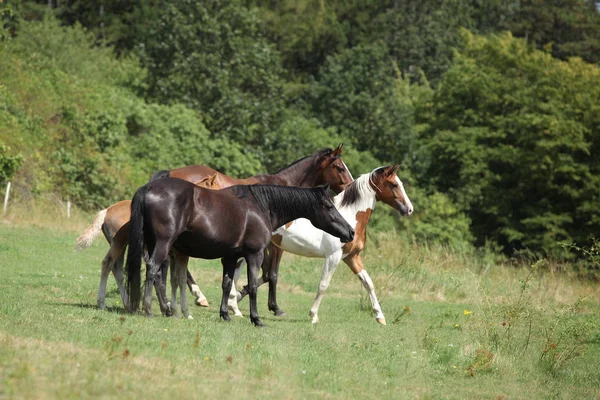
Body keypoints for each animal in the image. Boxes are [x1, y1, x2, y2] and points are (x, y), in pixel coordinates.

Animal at [124, 178, 354, 324]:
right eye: (329, 206)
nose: (350, 232)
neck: (261, 207)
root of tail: (149, 187)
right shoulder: (255, 255)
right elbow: (252, 286)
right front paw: (256, 318)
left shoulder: (231, 256)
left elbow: (227, 284)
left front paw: (225, 314)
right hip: (163, 244)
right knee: (153, 269)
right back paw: (150, 309)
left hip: (154, 244)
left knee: (158, 276)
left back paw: (167, 310)